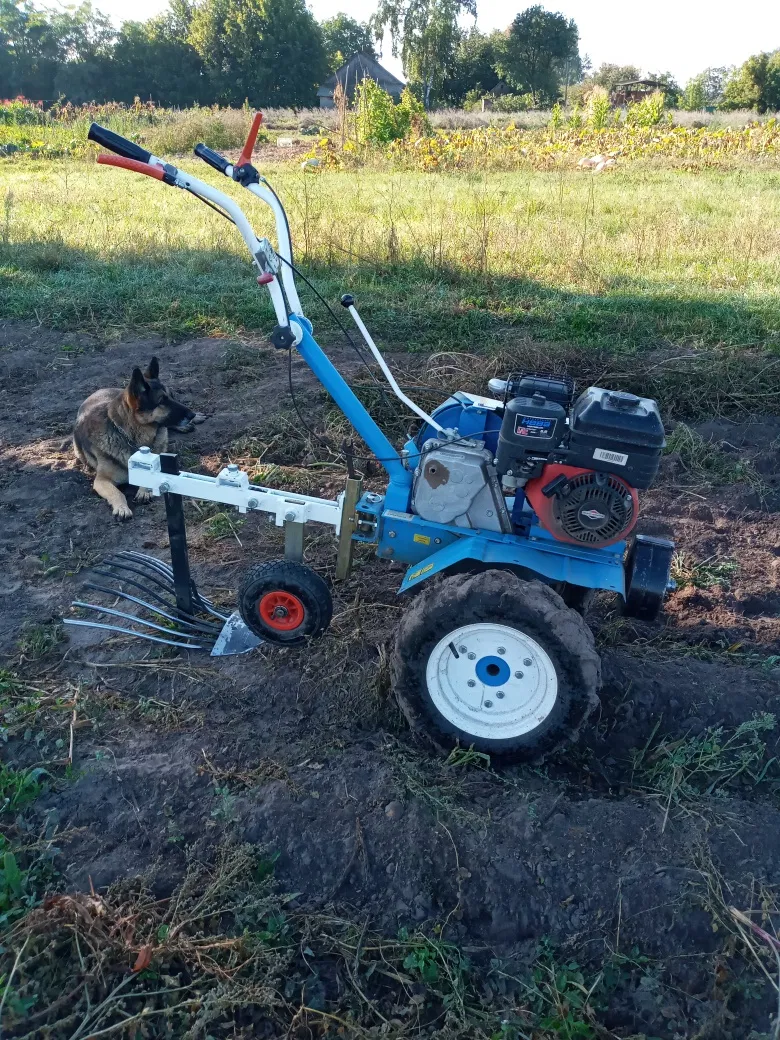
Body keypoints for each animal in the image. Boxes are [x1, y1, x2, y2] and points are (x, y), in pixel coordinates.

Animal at [74, 359, 201, 520]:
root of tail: (100, 390)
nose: (192, 414)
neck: (130, 436)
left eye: (172, 396)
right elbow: (118, 493)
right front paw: (122, 508)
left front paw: (144, 490)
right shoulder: (101, 480)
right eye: (162, 401)